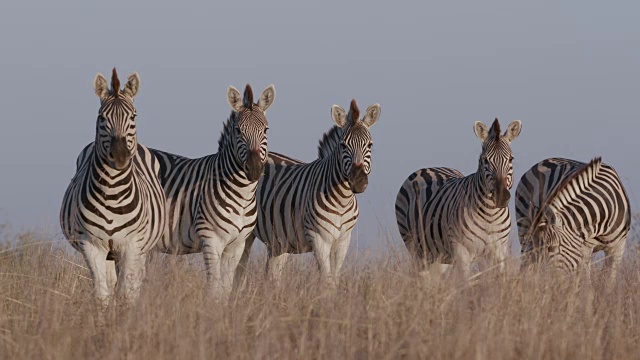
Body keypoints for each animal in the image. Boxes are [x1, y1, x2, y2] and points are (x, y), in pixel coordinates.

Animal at [59, 69, 168, 310]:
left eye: (134, 116)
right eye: (102, 117)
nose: (119, 157)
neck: (111, 192)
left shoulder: (132, 245)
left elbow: (126, 293)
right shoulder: (91, 245)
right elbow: (102, 295)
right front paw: (105, 320)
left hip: (140, 249)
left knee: (133, 283)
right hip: (109, 252)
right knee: (111, 281)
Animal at [149, 83, 276, 298]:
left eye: (265, 130)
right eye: (238, 130)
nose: (254, 169)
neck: (243, 196)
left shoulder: (237, 245)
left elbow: (226, 288)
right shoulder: (211, 240)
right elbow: (214, 288)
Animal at [235, 98, 380, 286]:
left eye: (369, 145)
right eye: (343, 145)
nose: (358, 181)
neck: (342, 200)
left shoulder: (343, 241)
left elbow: (335, 278)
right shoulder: (319, 239)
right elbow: (327, 280)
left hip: (278, 241)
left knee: (272, 275)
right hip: (247, 233)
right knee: (240, 272)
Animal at [398, 119, 524, 280]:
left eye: (511, 159)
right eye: (485, 160)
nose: (501, 196)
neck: (490, 215)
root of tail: (428, 168)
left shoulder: (499, 252)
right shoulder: (461, 251)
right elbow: (466, 282)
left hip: (439, 255)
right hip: (415, 247)